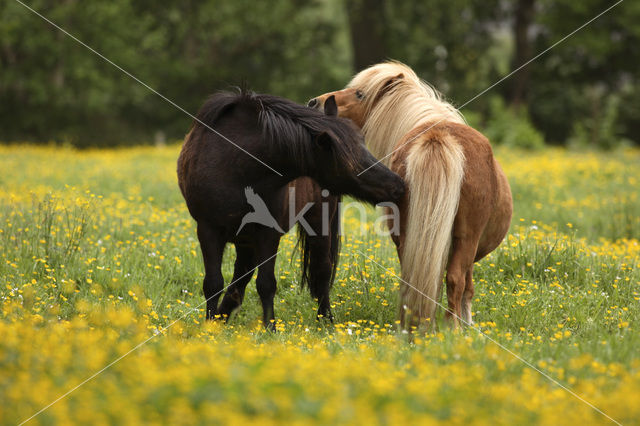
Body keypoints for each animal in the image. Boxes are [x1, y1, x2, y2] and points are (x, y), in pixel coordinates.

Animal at [178, 91, 402, 328]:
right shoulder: (208, 230)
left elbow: (266, 283)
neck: (234, 166)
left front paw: (270, 328)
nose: (398, 186)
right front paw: (210, 326)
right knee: (243, 272)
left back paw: (326, 319)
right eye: (351, 164)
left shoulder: (268, 232)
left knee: (321, 270)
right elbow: (213, 283)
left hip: (318, 222)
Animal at [310, 61, 516, 330]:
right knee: (455, 279)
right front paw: (468, 324)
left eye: (360, 94)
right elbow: (468, 288)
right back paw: (452, 329)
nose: (315, 103)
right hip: (466, 238)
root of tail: (438, 136)